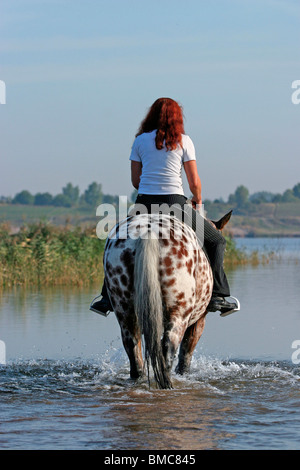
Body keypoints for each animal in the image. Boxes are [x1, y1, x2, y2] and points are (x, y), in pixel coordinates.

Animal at [103, 209, 232, 390]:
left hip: (125, 311)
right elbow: (186, 354)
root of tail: (148, 232)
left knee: (133, 350)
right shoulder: (199, 319)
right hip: (179, 313)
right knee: (169, 349)